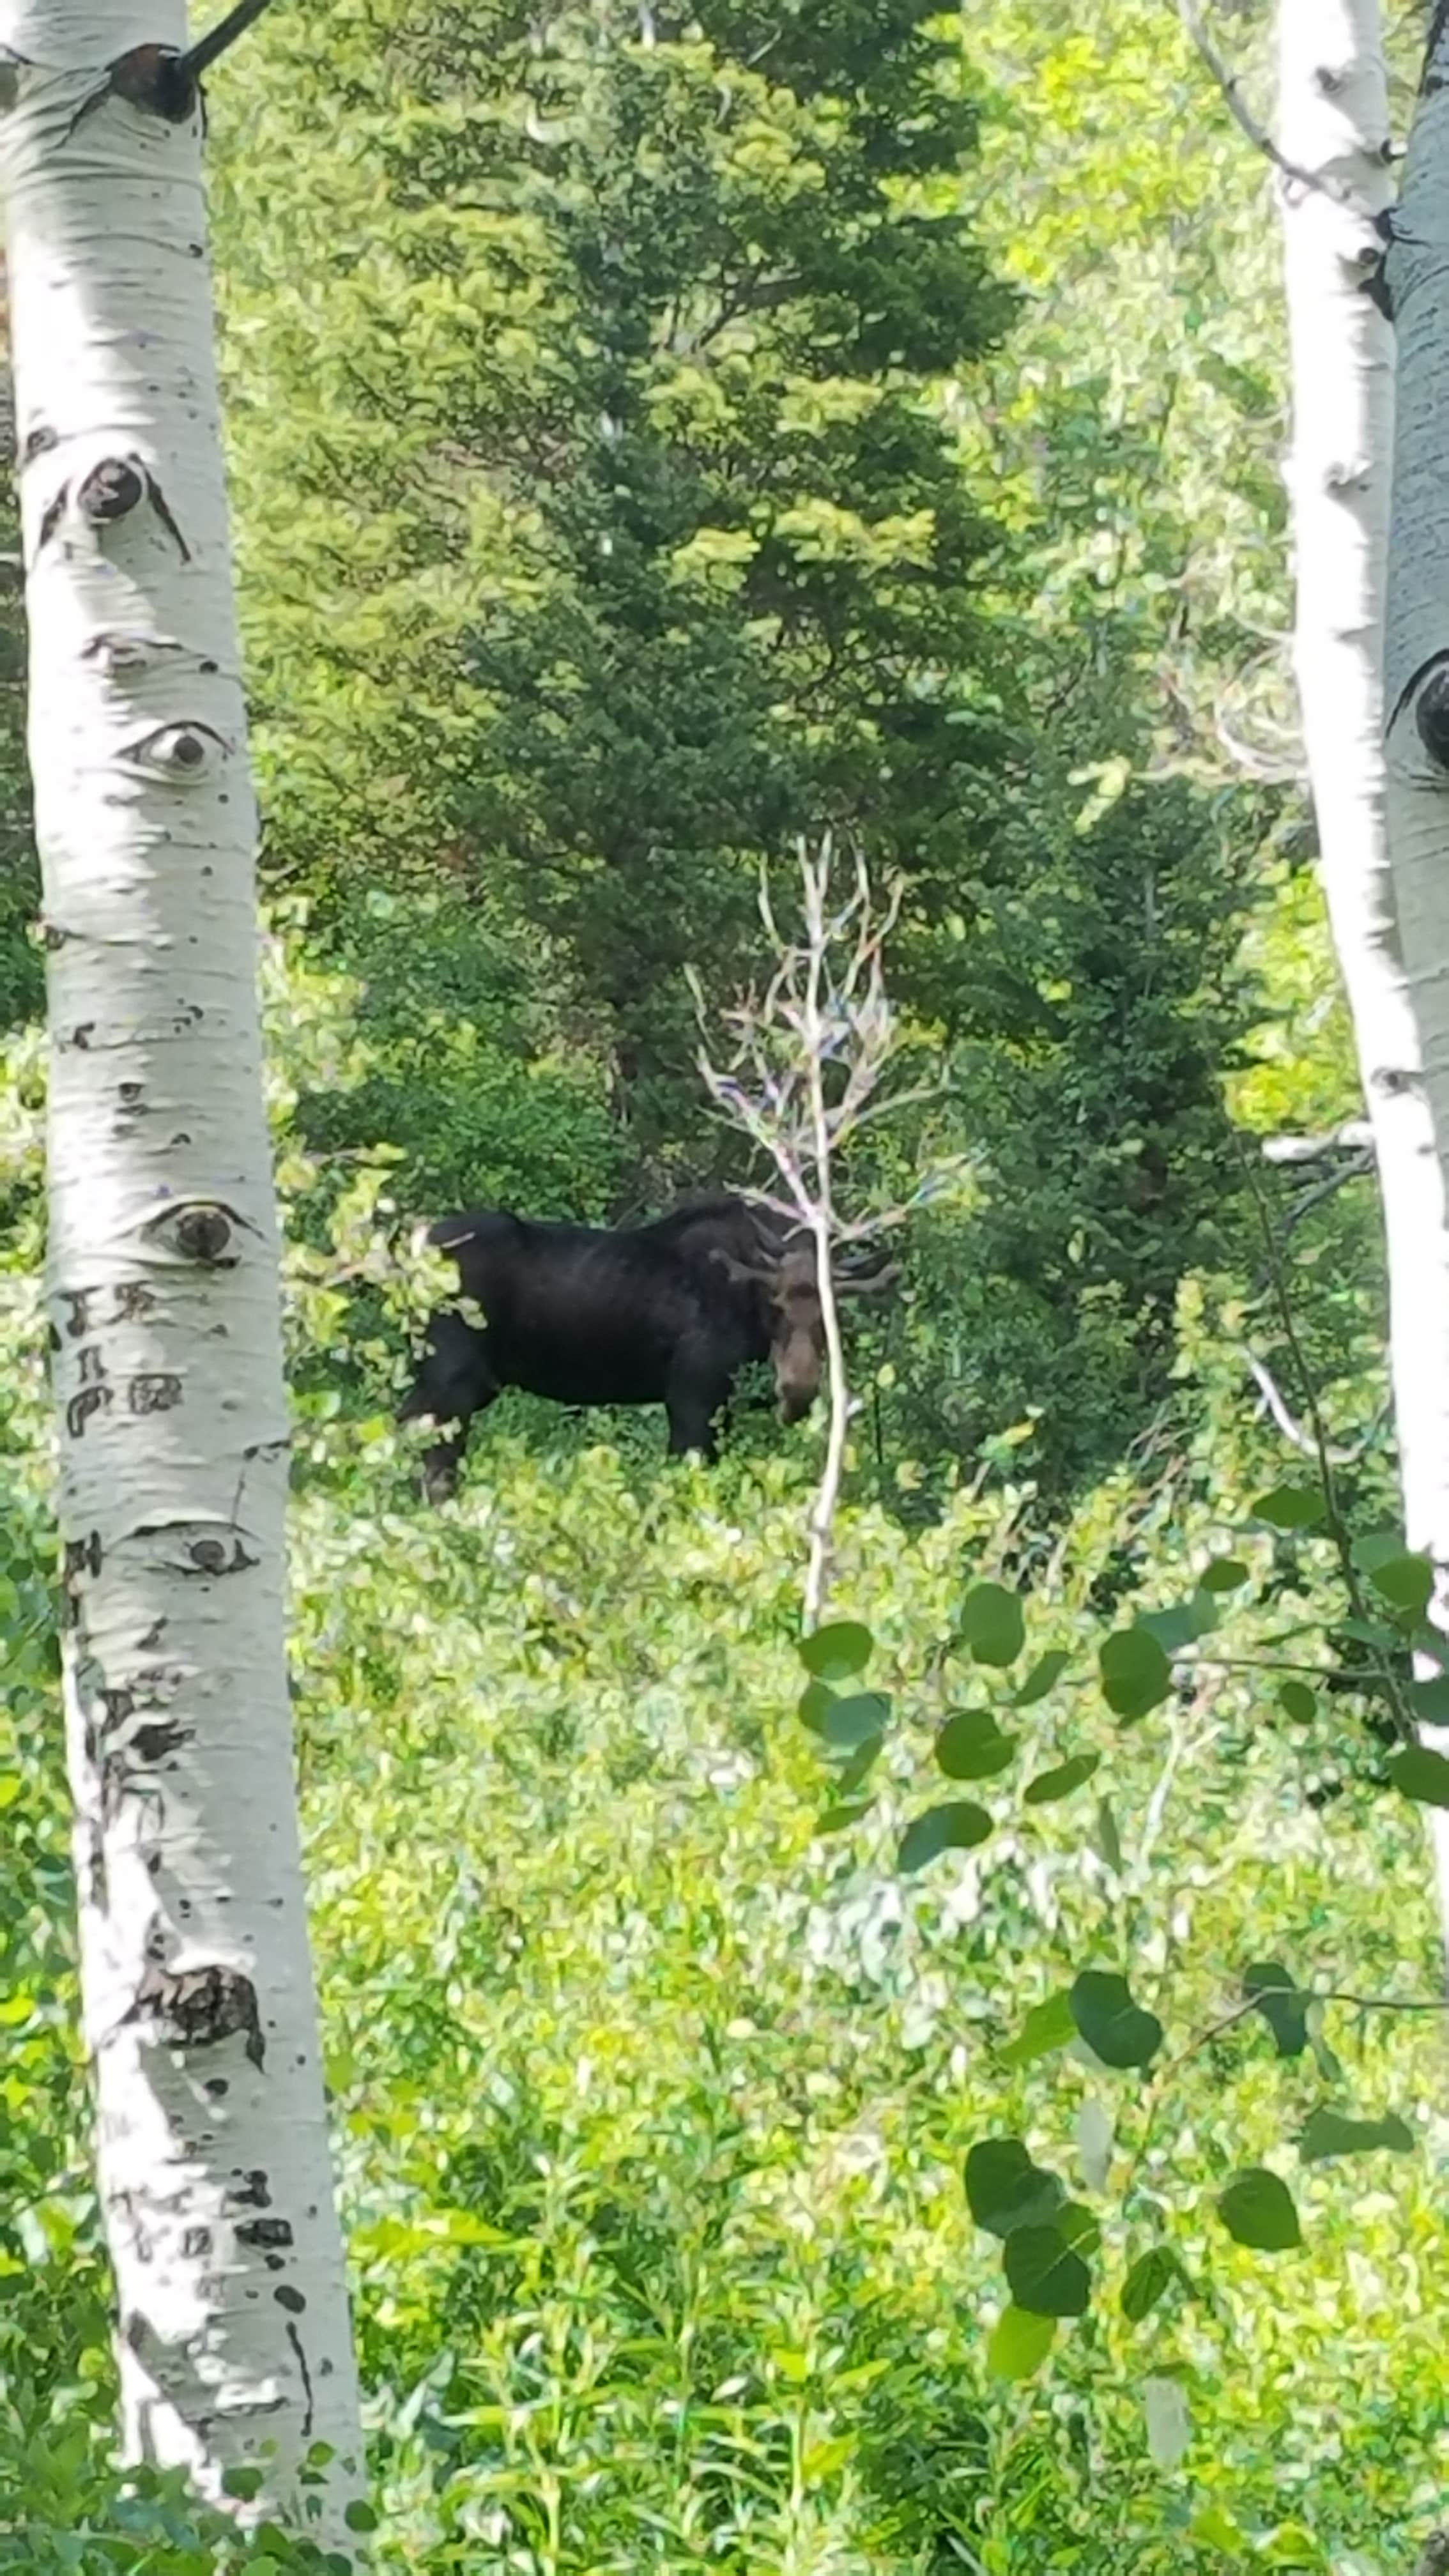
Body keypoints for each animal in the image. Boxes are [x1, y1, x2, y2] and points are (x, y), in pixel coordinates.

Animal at [399, 1179, 887, 1494]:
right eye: (776, 1306)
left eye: (833, 1317)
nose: (797, 1389)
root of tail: (412, 1251)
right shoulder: (692, 1396)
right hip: (454, 1377)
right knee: (436, 1455)